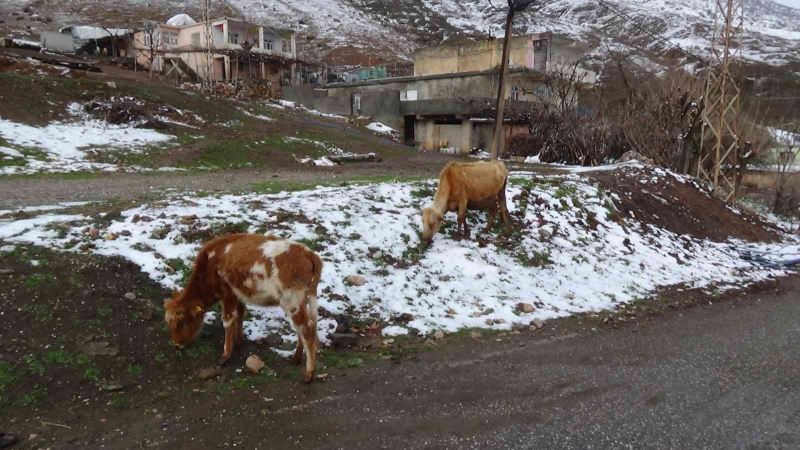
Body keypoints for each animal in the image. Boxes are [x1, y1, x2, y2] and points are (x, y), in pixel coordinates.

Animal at [164, 232, 324, 384]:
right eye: (169, 323)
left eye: (183, 323)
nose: (176, 344)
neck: (210, 263)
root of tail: (306, 251)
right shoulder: (238, 294)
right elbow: (240, 315)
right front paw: (238, 340)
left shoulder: (227, 293)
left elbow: (228, 322)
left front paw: (226, 355)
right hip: (300, 301)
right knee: (301, 328)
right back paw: (296, 358)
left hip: (292, 301)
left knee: (307, 329)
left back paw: (309, 375)